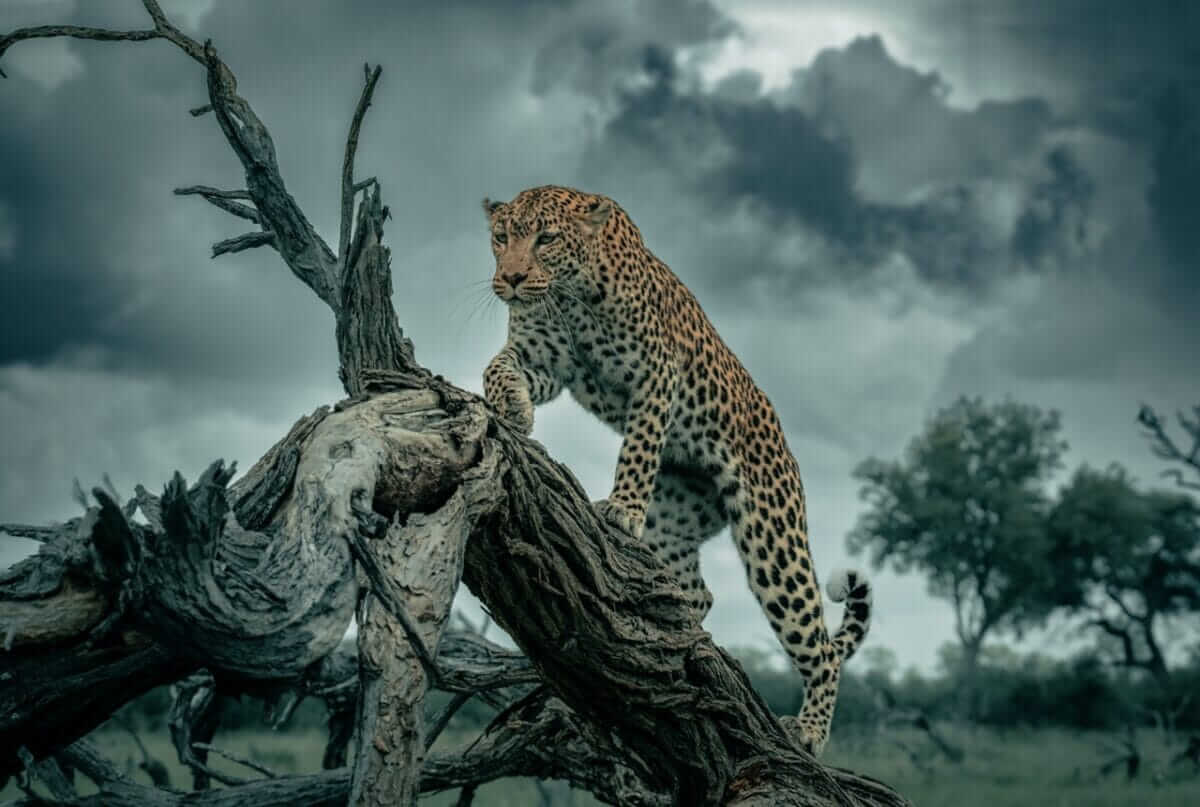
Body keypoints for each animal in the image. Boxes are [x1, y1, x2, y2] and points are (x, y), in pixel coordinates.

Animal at [480, 184, 873, 755]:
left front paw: (622, 508)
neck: (570, 294)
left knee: (819, 645)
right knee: (699, 592)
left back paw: (811, 733)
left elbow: (640, 445)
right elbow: (496, 366)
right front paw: (512, 407)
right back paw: (673, 636)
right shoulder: (543, 357)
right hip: (672, 525)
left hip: (772, 539)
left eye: (546, 238)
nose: (509, 277)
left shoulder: (656, 373)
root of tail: (785, 447)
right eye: (500, 237)